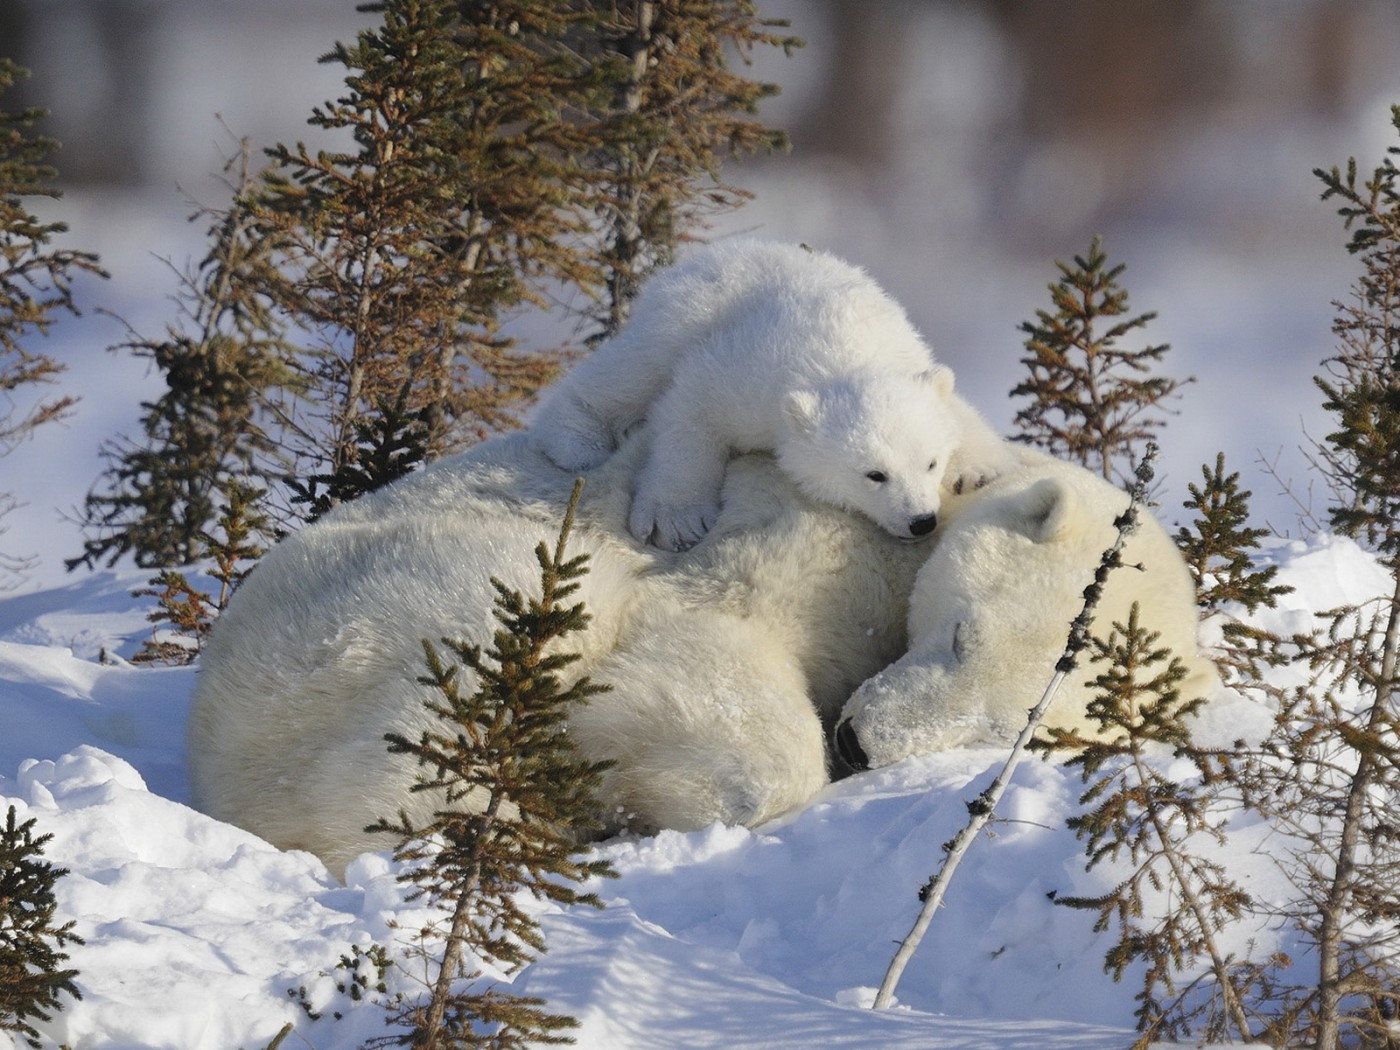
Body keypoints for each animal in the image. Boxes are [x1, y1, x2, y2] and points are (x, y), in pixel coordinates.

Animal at [529, 238, 1013, 551]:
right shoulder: (745, 375)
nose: (921, 522)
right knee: (632, 370)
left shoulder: (907, 353)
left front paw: (977, 467)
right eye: (874, 474)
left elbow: (954, 408)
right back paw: (577, 439)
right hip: (682, 315)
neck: (846, 351)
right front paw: (677, 519)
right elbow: (691, 412)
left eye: (931, 463)